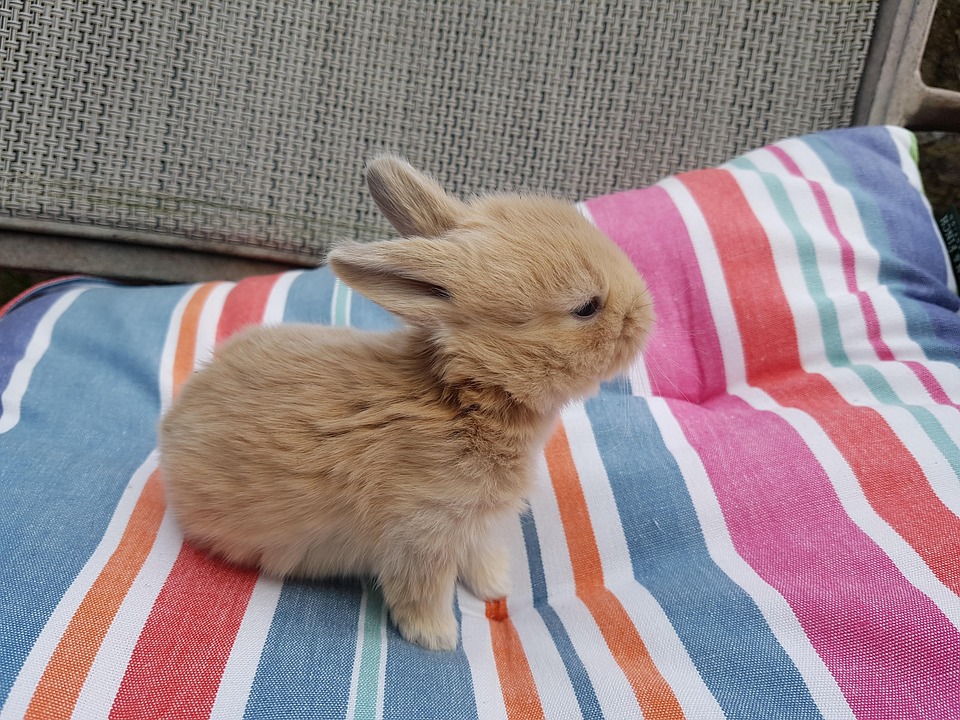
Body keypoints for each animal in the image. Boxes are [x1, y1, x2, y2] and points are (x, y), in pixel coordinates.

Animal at [158, 155, 654, 651]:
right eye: (586, 307)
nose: (646, 314)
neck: (467, 393)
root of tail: (171, 428)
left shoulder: (473, 526)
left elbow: (479, 555)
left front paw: (495, 585)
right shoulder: (421, 534)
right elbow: (423, 590)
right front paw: (438, 638)